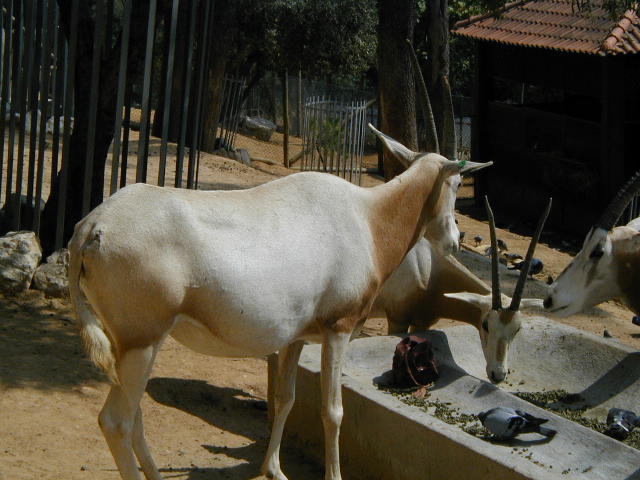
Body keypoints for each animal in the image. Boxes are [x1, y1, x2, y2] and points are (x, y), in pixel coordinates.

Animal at [68, 123, 491, 480]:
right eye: (457, 182)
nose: (455, 240)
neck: (369, 219)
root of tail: (92, 227)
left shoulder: (295, 339)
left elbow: (284, 399)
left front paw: (274, 469)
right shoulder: (338, 331)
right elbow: (333, 411)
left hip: (136, 345)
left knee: (135, 416)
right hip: (141, 342)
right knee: (116, 422)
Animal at [373, 197, 551, 383]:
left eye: (517, 329)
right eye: (485, 325)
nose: (498, 375)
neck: (430, 268)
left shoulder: (422, 324)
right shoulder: (397, 320)